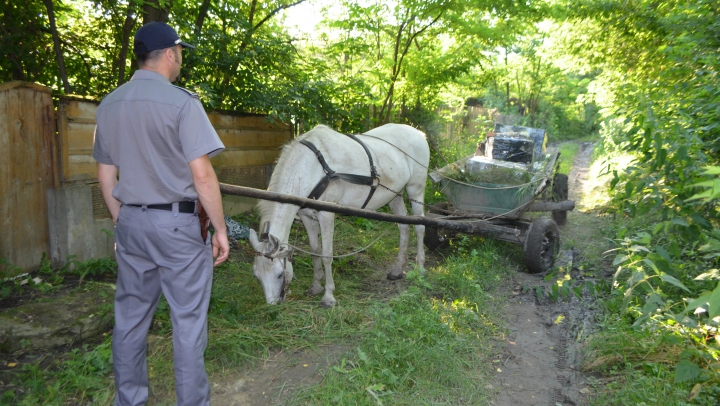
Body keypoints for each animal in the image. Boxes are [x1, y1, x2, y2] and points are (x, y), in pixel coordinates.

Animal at [249, 122, 428, 306]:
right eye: (257, 275)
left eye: (279, 274)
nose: (272, 304)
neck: (311, 166)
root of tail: (418, 133)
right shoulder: (306, 216)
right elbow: (315, 250)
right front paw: (316, 286)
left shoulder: (327, 214)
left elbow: (327, 255)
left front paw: (328, 296)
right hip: (395, 195)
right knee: (404, 227)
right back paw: (397, 270)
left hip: (415, 189)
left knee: (420, 226)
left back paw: (420, 268)